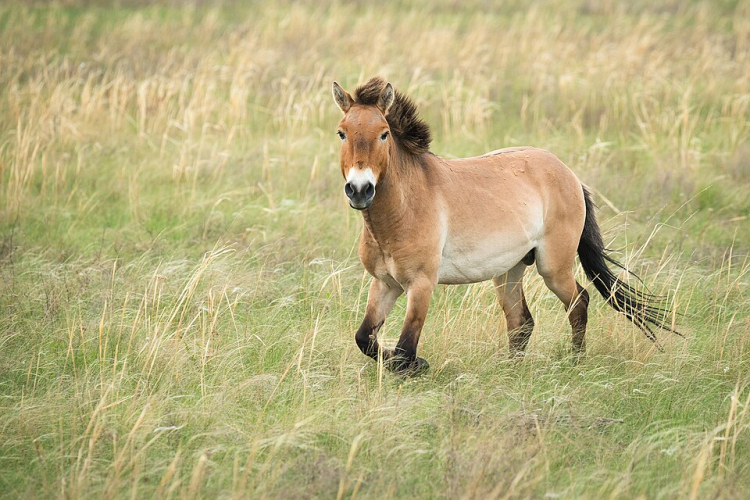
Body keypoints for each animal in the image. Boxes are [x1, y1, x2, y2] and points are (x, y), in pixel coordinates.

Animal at [331, 77, 677, 374]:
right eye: (342, 132)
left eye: (384, 133)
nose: (360, 190)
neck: (402, 209)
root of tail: (570, 175)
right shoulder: (385, 283)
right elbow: (365, 338)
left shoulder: (421, 284)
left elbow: (405, 350)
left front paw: (418, 365)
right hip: (509, 270)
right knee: (521, 322)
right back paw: (511, 371)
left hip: (553, 268)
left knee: (578, 302)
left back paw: (575, 362)